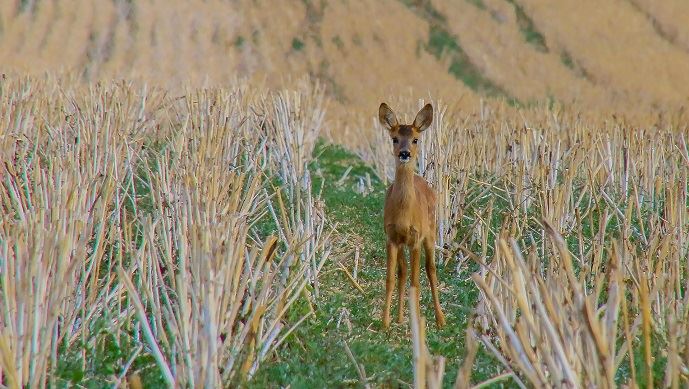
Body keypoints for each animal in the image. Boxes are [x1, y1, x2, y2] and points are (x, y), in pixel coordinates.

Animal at [376, 102, 446, 328]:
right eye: (394, 138)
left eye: (416, 139)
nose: (405, 153)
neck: (405, 214)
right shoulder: (391, 237)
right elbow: (391, 278)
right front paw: (385, 322)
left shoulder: (416, 238)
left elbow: (416, 281)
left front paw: (415, 322)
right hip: (403, 243)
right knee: (403, 272)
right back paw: (399, 317)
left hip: (430, 233)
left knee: (430, 270)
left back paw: (440, 319)